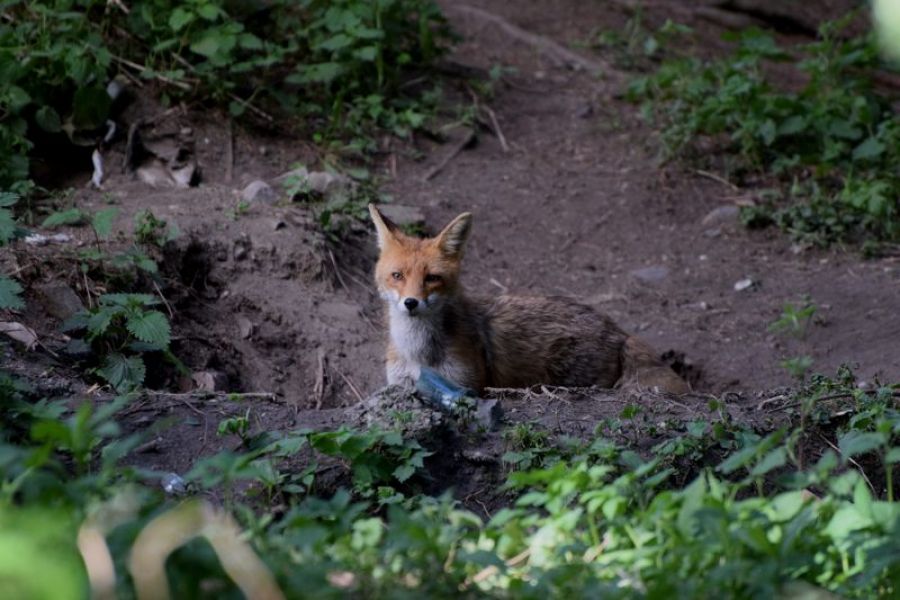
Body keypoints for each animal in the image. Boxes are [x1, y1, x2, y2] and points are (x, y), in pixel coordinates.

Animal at [366, 204, 688, 396]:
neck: (418, 353)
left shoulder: (467, 385)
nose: (411, 303)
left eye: (432, 278)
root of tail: (619, 331)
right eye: (397, 276)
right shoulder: (399, 385)